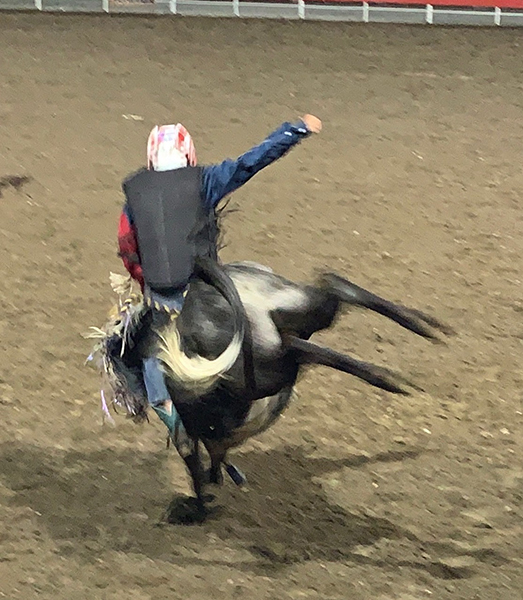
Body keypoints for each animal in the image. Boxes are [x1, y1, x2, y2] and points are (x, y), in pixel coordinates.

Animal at [88, 260, 452, 524]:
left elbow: (194, 461)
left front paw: (195, 506)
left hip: (263, 370)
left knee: (300, 344)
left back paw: (393, 374)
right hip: (299, 313)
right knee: (332, 289)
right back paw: (424, 331)